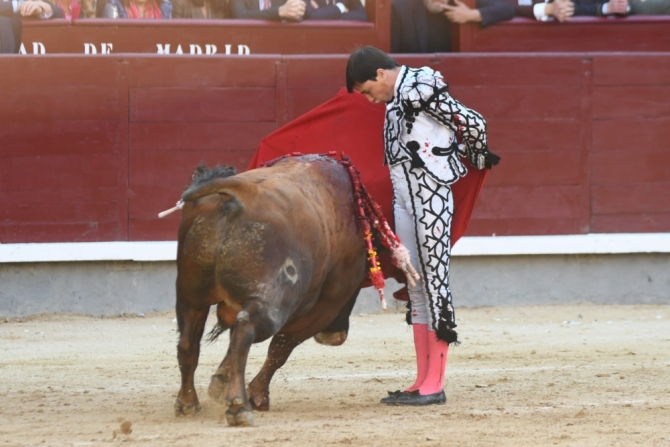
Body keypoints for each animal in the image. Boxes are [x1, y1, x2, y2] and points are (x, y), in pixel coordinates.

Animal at [173, 157, 370, 428]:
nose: (335, 335)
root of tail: (235, 195)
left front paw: (220, 382)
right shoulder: (322, 308)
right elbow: (281, 348)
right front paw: (257, 395)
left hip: (190, 298)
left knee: (188, 344)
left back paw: (187, 403)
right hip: (273, 303)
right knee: (245, 331)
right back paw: (239, 407)